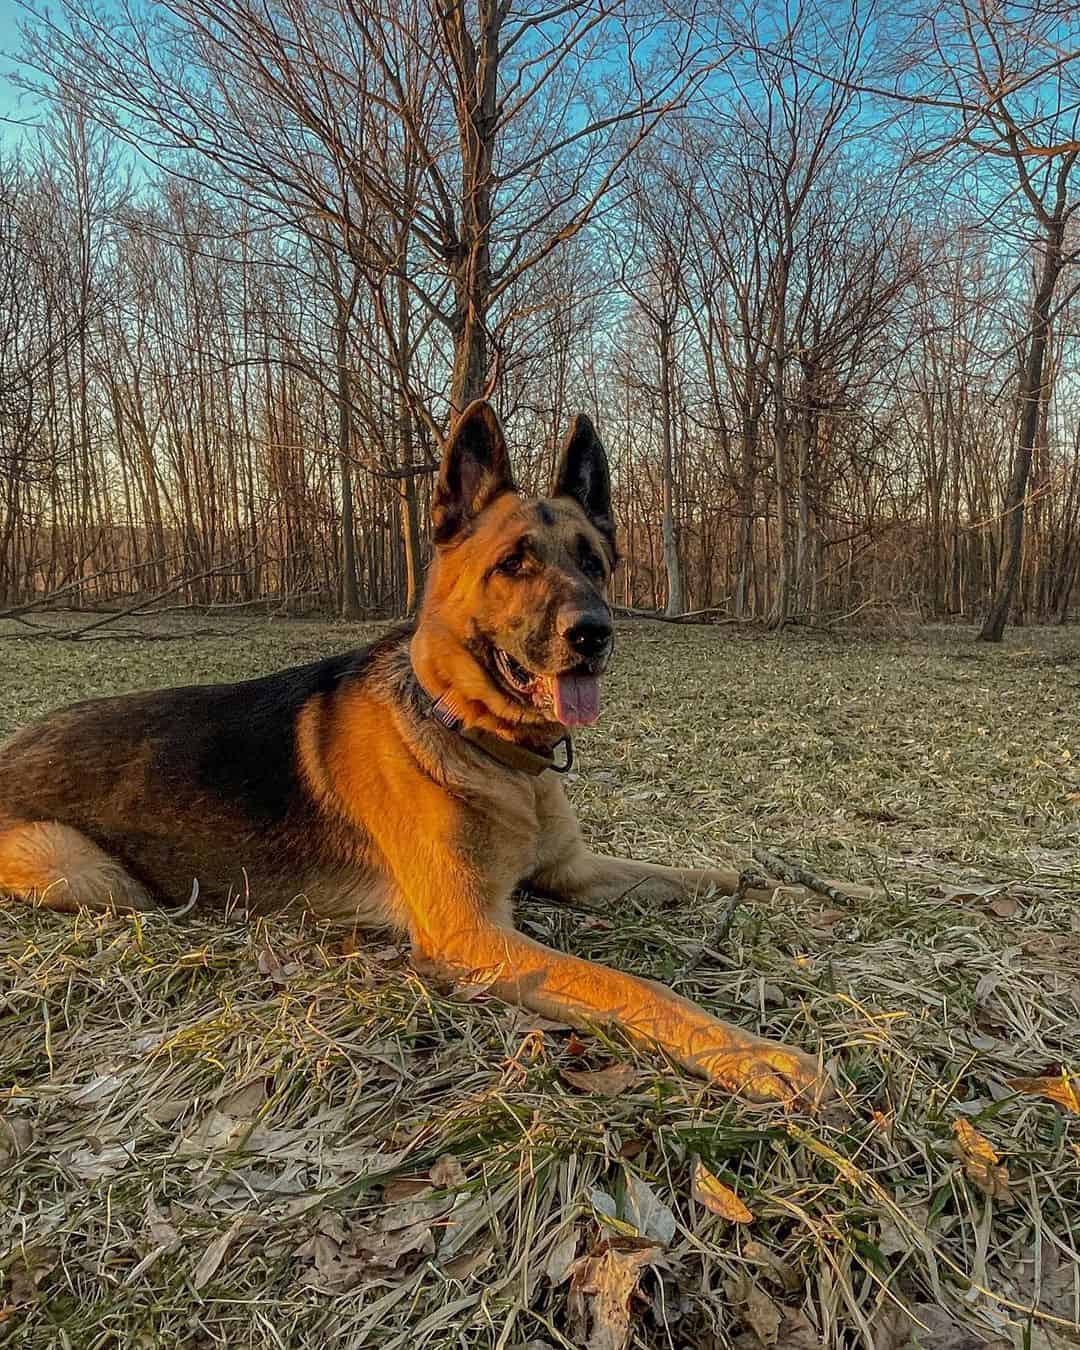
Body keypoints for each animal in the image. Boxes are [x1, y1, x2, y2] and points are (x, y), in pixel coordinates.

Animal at [2, 399, 826, 1107]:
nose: (593, 635)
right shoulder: (473, 934)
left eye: (593, 562)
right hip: (90, 876)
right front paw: (755, 1054)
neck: (482, 745)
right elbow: (633, 986)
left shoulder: (576, 873)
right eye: (513, 564)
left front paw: (801, 892)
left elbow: (715, 876)